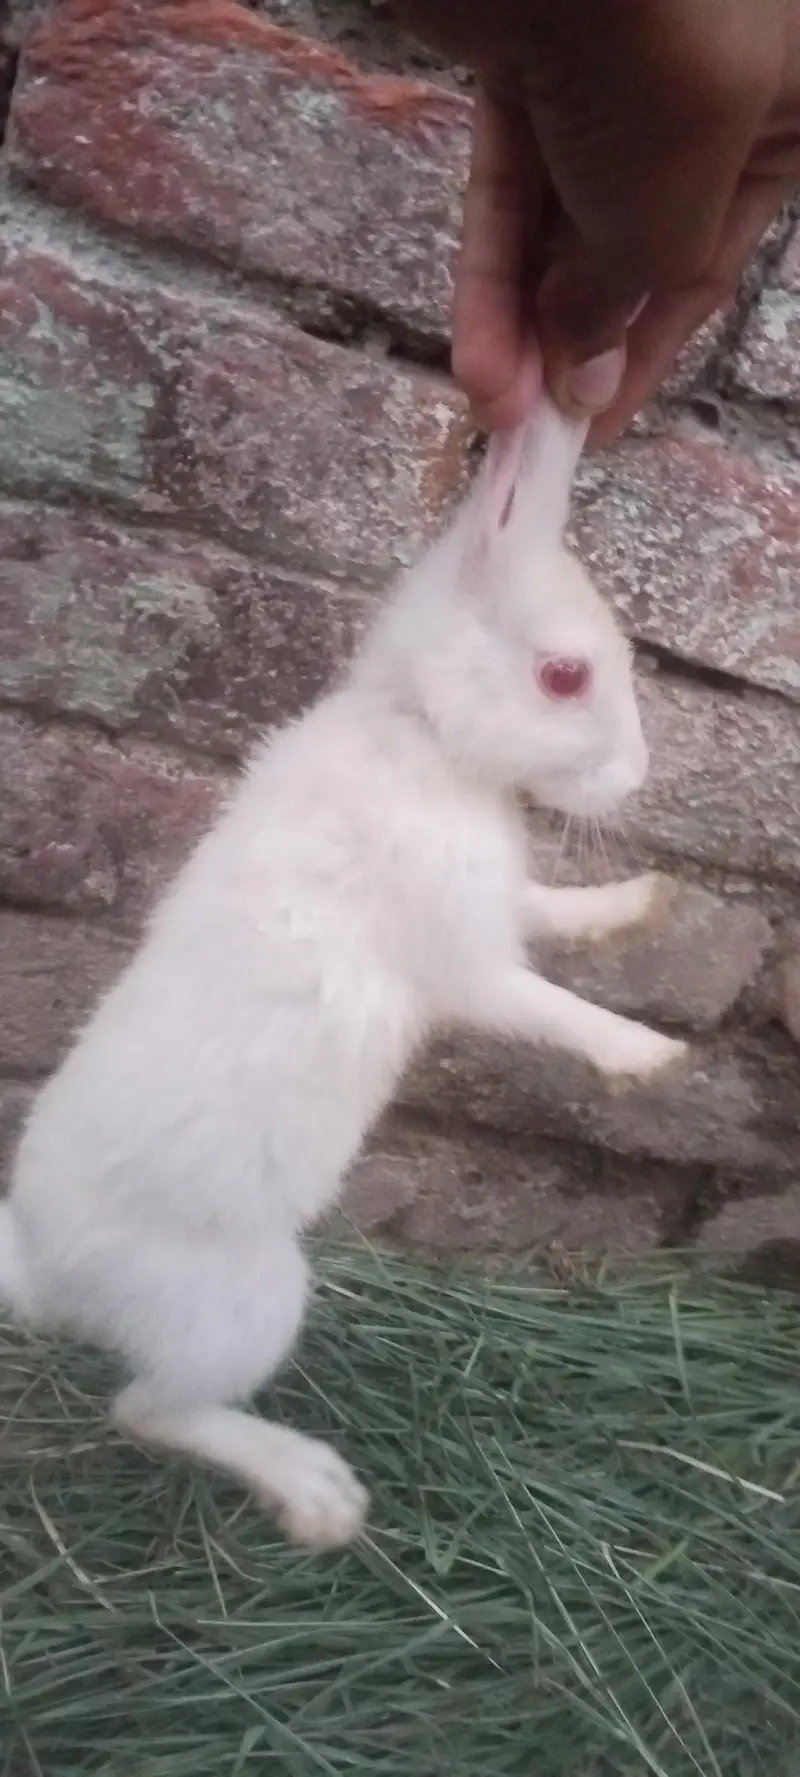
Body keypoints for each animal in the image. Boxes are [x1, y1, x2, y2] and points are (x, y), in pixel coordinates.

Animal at [0, 394, 687, 1549]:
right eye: (564, 675)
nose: (636, 776)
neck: (421, 729)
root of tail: (44, 1269)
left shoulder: (499, 909)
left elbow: (552, 917)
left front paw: (640, 902)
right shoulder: (463, 956)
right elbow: (542, 1006)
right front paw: (652, 1055)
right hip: (244, 1301)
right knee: (149, 1411)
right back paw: (318, 1497)